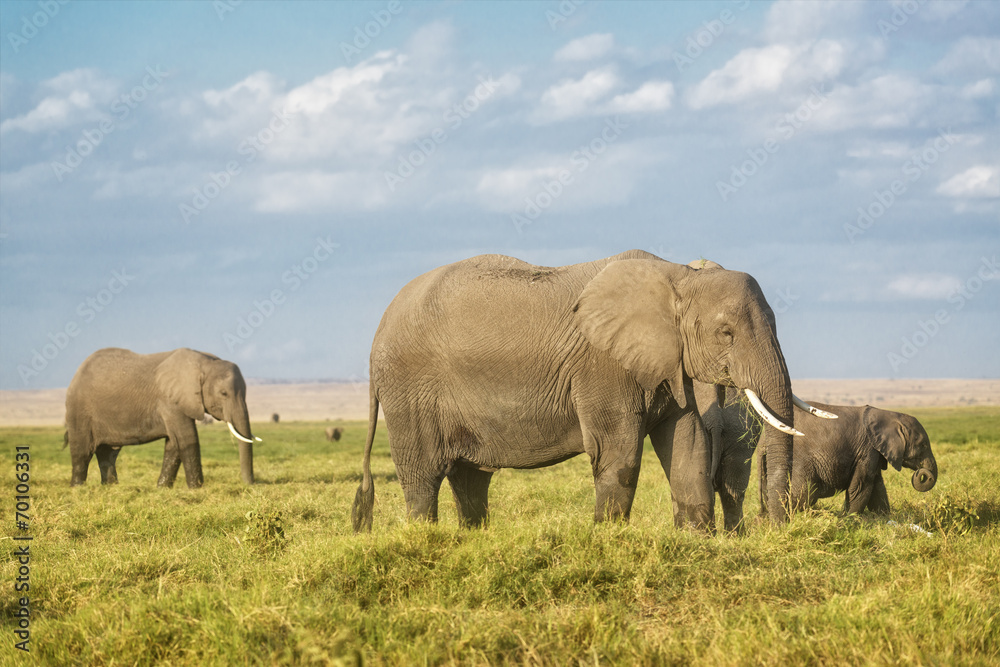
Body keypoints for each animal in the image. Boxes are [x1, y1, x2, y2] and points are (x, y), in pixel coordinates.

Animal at [63, 350, 258, 490]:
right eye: (224, 394)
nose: (250, 485)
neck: (205, 362)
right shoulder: (170, 401)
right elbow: (187, 439)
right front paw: (197, 489)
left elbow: (173, 444)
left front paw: (162, 488)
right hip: (79, 411)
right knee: (82, 451)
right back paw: (77, 488)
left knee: (108, 452)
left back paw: (111, 487)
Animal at [352, 250, 828, 532]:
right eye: (726, 333)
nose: (777, 529)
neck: (677, 275)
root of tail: (376, 333)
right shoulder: (603, 365)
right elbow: (620, 452)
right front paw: (609, 540)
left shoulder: (671, 364)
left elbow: (688, 443)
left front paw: (696, 541)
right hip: (409, 389)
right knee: (423, 475)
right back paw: (423, 538)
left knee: (470, 478)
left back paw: (473, 538)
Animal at [760, 402, 940, 516]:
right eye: (923, 444)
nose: (922, 474)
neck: (889, 414)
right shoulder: (867, 449)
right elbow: (861, 486)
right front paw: (850, 519)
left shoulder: (873, 452)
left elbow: (877, 487)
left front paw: (884, 518)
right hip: (799, 459)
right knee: (804, 494)